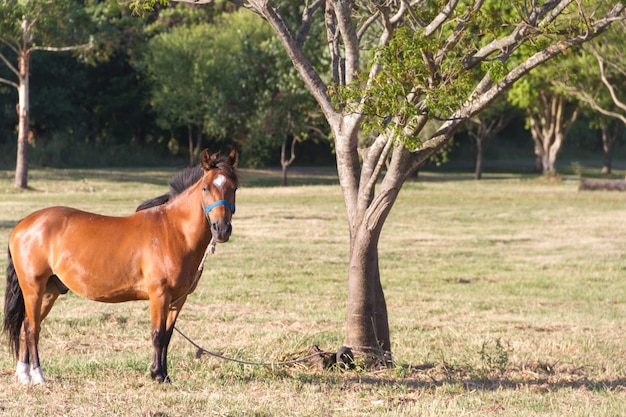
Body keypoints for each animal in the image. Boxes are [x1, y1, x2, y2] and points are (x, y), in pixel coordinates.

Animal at [3, 150, 238, 384]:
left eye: (234, 187)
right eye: (205, 188)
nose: (221, 229)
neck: (173, 231)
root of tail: (23, 224)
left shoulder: (177, 300)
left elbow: (167, 336)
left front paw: (165, 375)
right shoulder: (159, 295)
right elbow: (157, 334)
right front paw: (157, 374)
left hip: (49, 291)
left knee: (25, 327)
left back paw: (24, 375)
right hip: (33, 289)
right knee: (32, 328)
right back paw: (38, 376)